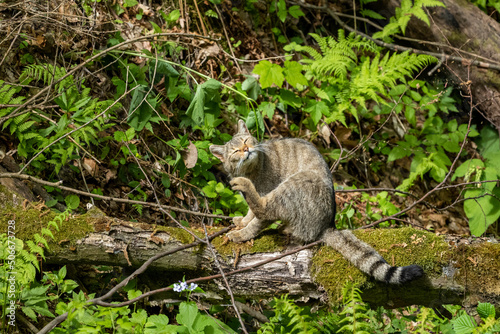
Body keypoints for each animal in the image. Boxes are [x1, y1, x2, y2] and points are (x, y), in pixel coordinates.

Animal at [209, 120, 424, 284]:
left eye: (246, 140)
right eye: (235, 151)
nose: (246, 149)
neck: (249, 170)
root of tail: (327, 225)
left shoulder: (266, 192)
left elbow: (256, 220)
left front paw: (242, 233)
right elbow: (250, 214)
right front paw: (242, 221)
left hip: (296, 183)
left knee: (264, 208)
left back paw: (244, 188)